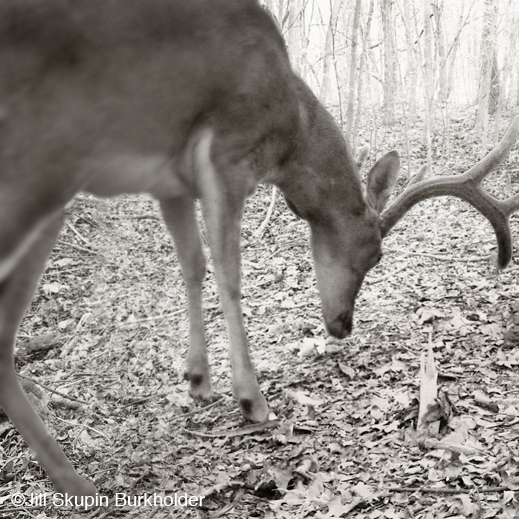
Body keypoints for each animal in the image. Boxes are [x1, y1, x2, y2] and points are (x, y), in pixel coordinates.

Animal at [1, 0, 519, 500]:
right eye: (376, 253)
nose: (343, 325)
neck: (293, 129)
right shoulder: (228, 156)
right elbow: (228, 273)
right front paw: (250, 398)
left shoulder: (170, 182)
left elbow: (192, 265)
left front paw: (198, 380)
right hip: (39, 174)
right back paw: (74, 479)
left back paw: (70, 479)